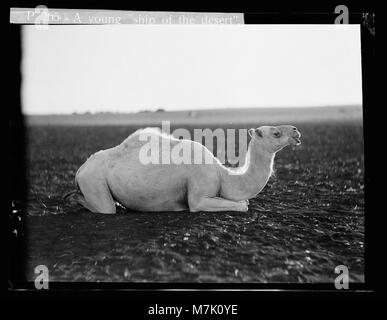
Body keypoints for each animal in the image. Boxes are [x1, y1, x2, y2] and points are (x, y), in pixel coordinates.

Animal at [65, 125, 304, 212]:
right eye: (276, 133)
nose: (296, 131)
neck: (223, 175)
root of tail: (80, 170)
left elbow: (244, 202)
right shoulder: (199, 194)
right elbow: (243, 205)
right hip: (93, 181)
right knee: (105, 207)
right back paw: (72, 197)